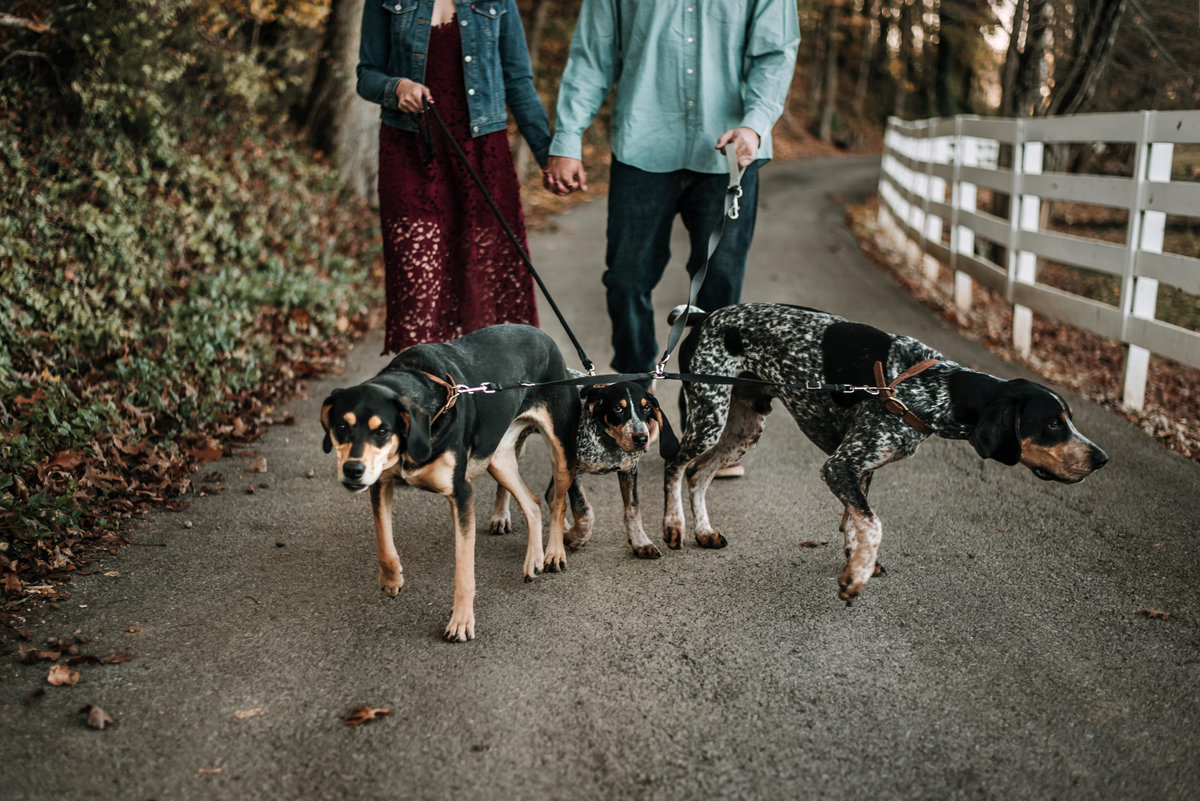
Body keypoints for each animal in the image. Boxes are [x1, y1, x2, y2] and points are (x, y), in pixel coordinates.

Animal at [319, 321, 580, 642]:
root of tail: (543, 335)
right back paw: (534, 559)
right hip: (498, 459)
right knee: (531, 502)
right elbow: (384, 542)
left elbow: (464, 573)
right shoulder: (381, 484)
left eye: (382, 431)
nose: (353, 470)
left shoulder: (461, 493)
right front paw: (391, 579)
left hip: (561, 450)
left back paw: (554, 553)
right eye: (341, 427)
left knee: (557, 501)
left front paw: (461, 622)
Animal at [489, 381, 676, 556]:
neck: (608, 442)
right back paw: (500, 516)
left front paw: (641, 542)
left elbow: (633, 509)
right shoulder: (575, 470)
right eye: (617, 409)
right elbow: (585, 512)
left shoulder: (629, 470)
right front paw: (576, 537)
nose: (641, 439)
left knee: (551, 494)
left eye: (646, 408)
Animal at [667, 302, 1104, 599]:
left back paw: (703, 531)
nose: (1102, 459)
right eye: (1052, 424)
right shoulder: (840, 465)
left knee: (699, 473)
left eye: (1068, 418)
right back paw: (674, 526)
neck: (935, 390)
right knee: (676, 465)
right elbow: (873, 523)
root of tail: (706, 315)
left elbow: (856, 520)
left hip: (743, 427)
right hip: (709, 417)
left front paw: (858, 560)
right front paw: (856, 576)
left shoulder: (862, 468)